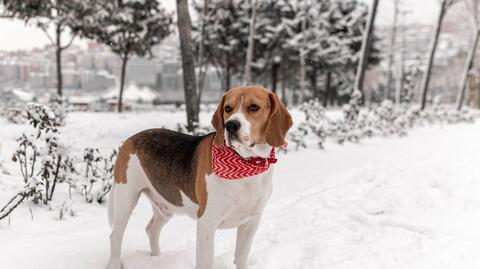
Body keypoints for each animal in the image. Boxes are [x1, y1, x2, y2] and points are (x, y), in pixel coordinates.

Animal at [108, 86, 292, 268]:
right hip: (125, 200)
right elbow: (206, 261)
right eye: (227, 108)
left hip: (165, 206)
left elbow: (241, 257)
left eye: (254, 107)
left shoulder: (251, 222)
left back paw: (157, 259)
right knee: (115, 237)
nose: (230, 125)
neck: (247, 163)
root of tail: (129, 139)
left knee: (151, 230)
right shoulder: (206, 224)